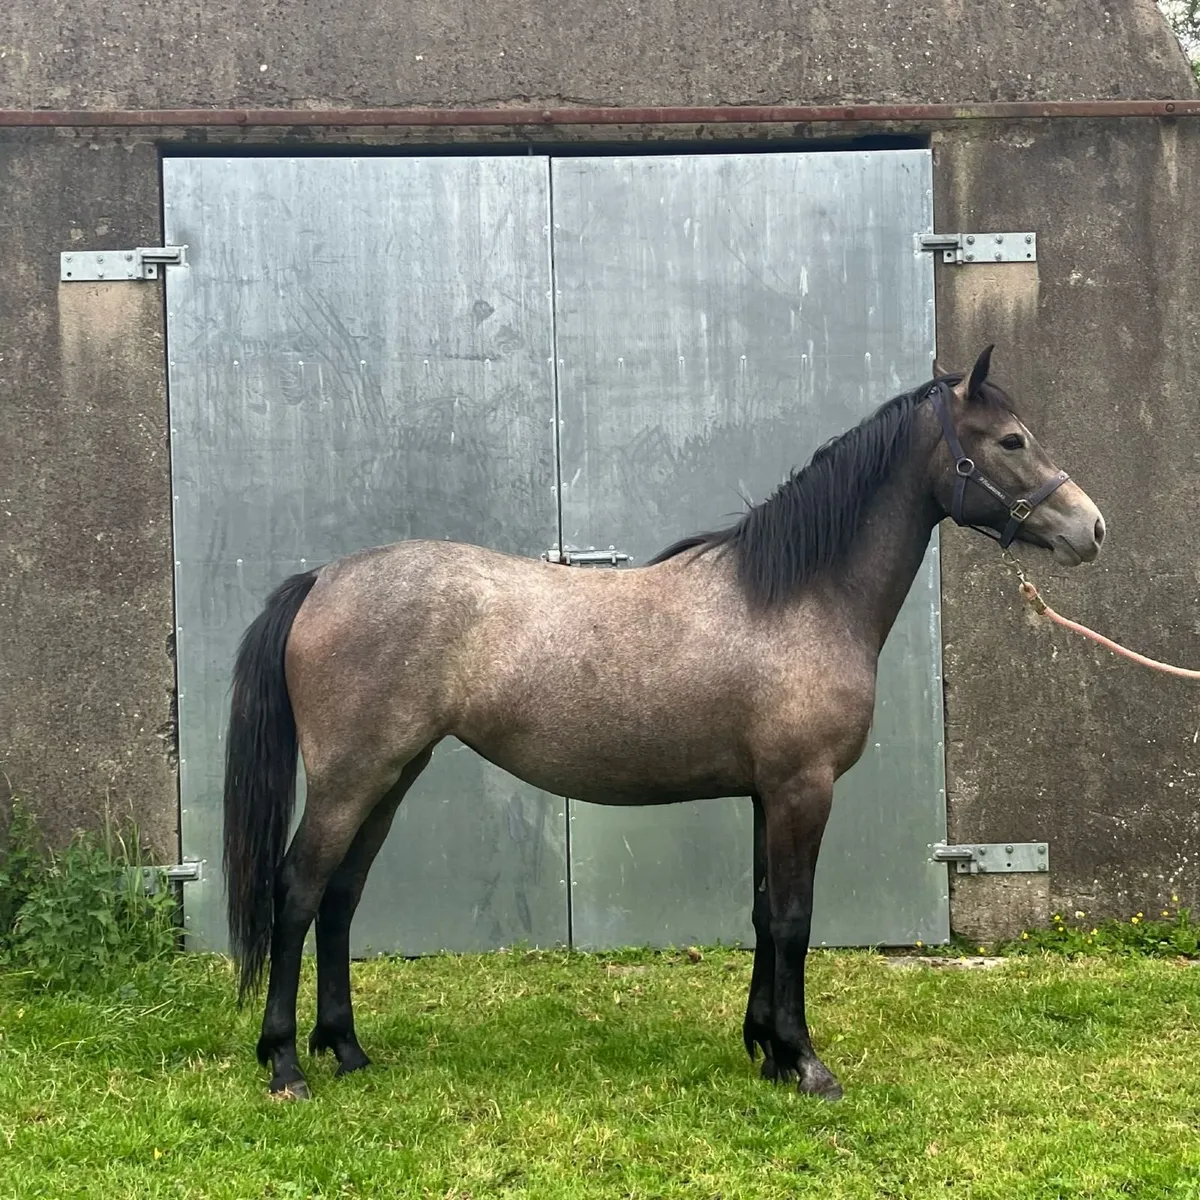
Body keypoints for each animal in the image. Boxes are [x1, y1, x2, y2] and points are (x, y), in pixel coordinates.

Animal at [221, 345, 1105, 1100]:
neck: (799, 594)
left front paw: (766, 1051)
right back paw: (285, 1064)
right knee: (297, 893)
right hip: (351, 778)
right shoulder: (802, 790)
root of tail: (322, 579)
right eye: (1012, 440)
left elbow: (762, 914)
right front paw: (805, 1063)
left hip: (394, 775)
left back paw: (348, 1050)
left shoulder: (767, 795)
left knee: (341, 897)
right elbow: (793, 920)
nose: (1090, 528)